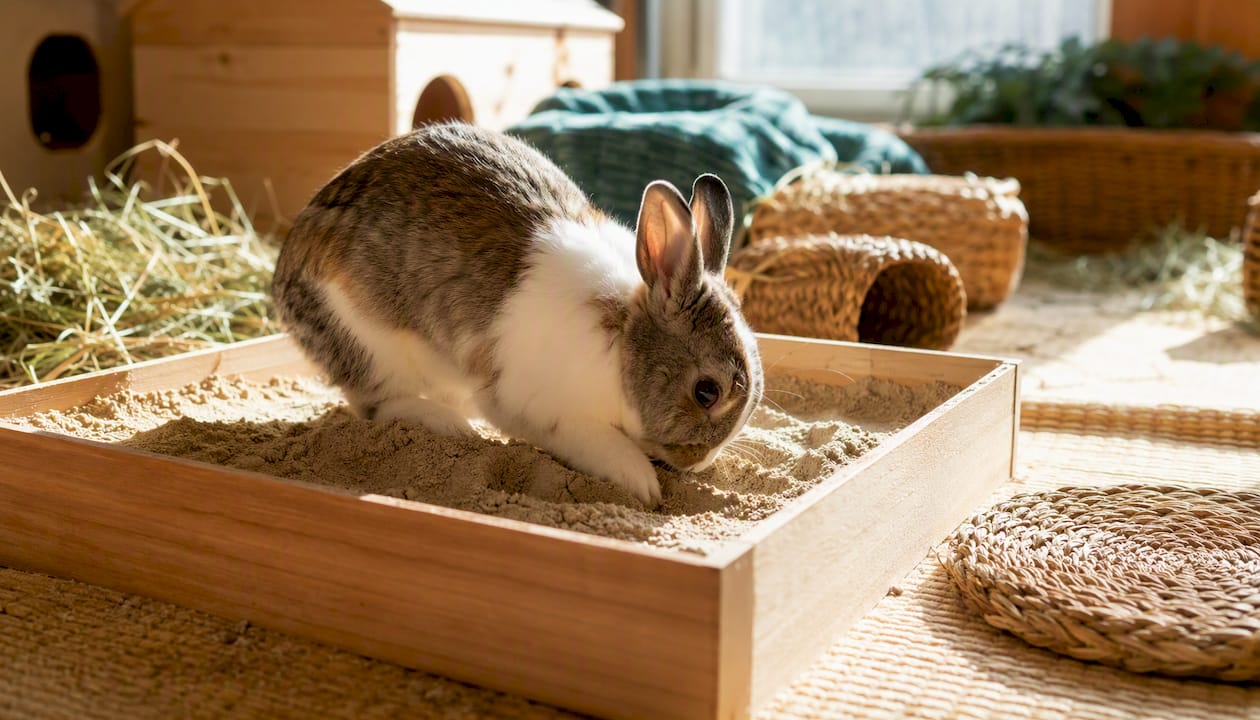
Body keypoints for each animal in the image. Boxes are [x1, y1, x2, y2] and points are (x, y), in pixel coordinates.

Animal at [271, 122, 764, 508]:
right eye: (706, 392)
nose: (698, 463)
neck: (621, 337)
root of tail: (283, 283)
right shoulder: (543, 411)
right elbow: (597, 443)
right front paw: (640, 482)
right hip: (370, 344)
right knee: (374, 404)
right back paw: (449, 425)